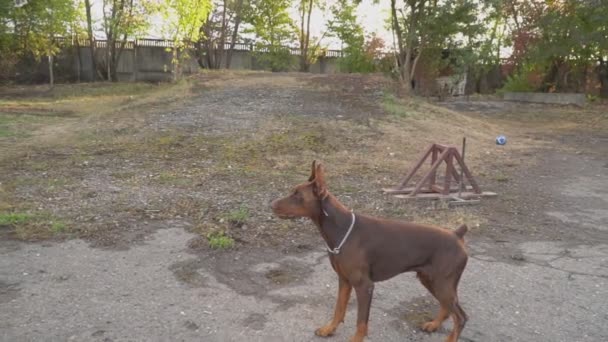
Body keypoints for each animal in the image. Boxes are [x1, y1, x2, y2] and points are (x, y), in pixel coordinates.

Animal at [270, 161, 470, 342]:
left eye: (297, 195)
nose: (271, 204)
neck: (341, 228)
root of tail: (456, 235)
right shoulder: (344, 280)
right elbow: (338, 309)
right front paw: (329, 329)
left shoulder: (364, 285)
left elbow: (361, 322)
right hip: (431, 280)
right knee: (448, 309)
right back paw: (433, 324)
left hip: (441, 283)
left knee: (460, 317)